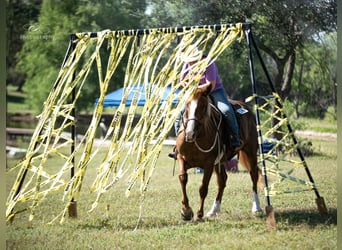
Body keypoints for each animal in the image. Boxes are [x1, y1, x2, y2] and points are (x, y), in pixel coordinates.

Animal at [174, 90, 262, 221]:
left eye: (203, 106)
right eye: (187, 105)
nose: (189, 133)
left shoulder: (209, 164)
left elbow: (203, 188)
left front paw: (199, 214)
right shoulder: (182, 158)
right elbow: (183, 178)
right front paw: (186, 211)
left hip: (250, 152)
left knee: (254, 175)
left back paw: (256, 207)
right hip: (220, 162)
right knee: (222, 180)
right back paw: (213, 210)